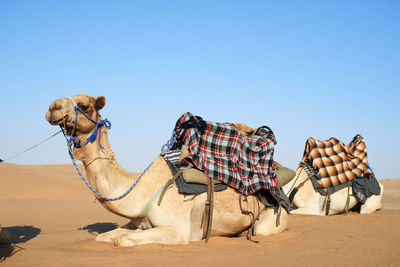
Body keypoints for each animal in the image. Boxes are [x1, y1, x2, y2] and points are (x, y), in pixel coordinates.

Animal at [46, 94, 288, 247]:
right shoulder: (136, 222)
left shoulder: (177, 230)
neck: (141, 189)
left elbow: (121, 239)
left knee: (261, 229)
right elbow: (105, 236)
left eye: (84, 106)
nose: (52, 107)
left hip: (273, 218)